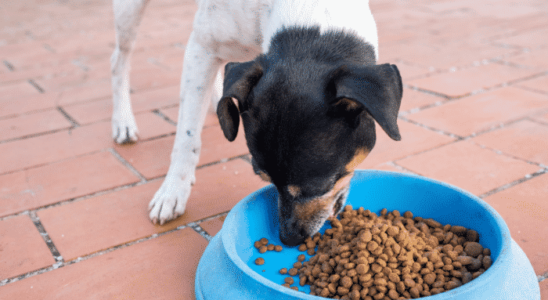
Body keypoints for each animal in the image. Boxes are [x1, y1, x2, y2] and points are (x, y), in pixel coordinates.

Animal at [110, 0, 402, 246]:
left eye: (320, 187)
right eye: (263, 178)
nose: (287, 239)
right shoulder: (202, 48)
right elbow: (187, 135)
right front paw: (172, 191)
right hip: (129, 12)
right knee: (119, 59)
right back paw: (123, 121)